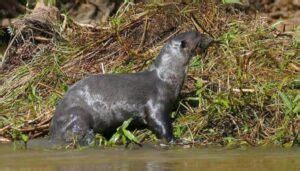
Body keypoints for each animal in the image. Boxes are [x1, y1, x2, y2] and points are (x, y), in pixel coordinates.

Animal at [49, 30, 213, 144]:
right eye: (198, 34)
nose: (211, 38)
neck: (167, 78)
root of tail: (54, 127)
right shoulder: (156, 102)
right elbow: (158, 122)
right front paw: (175, 140)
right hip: (77, 115)